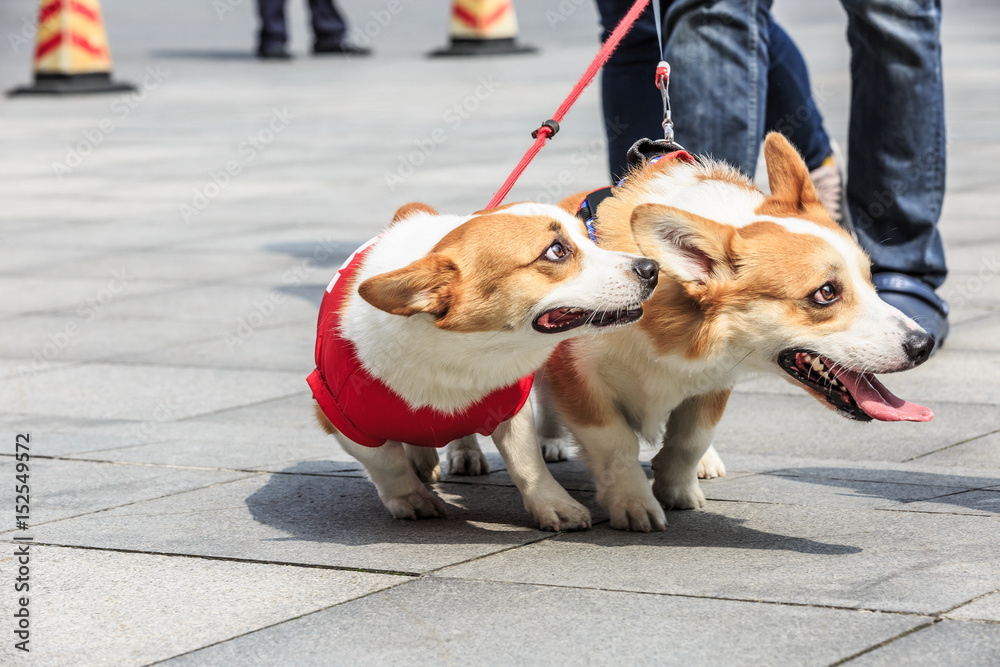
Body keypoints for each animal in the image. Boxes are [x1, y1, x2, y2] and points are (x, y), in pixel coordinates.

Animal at [308, 201, 660, 528]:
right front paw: (411, 499)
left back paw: (464, 453)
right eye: (557, 251)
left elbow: (526, 462)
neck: (461, 356)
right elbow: (387, 464)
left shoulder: (512, 408)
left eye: (589, 236)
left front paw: (555, 506)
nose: (652, 267)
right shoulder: (339, 420)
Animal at [544, 134, 932, 532]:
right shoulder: (577, 377)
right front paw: (634, 504)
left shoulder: (715, 381)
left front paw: (677, 489)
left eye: (870, 279)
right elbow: (616, 444)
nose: (924, 345)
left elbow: (691, 439)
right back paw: (551, 444)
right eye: (826, 293)